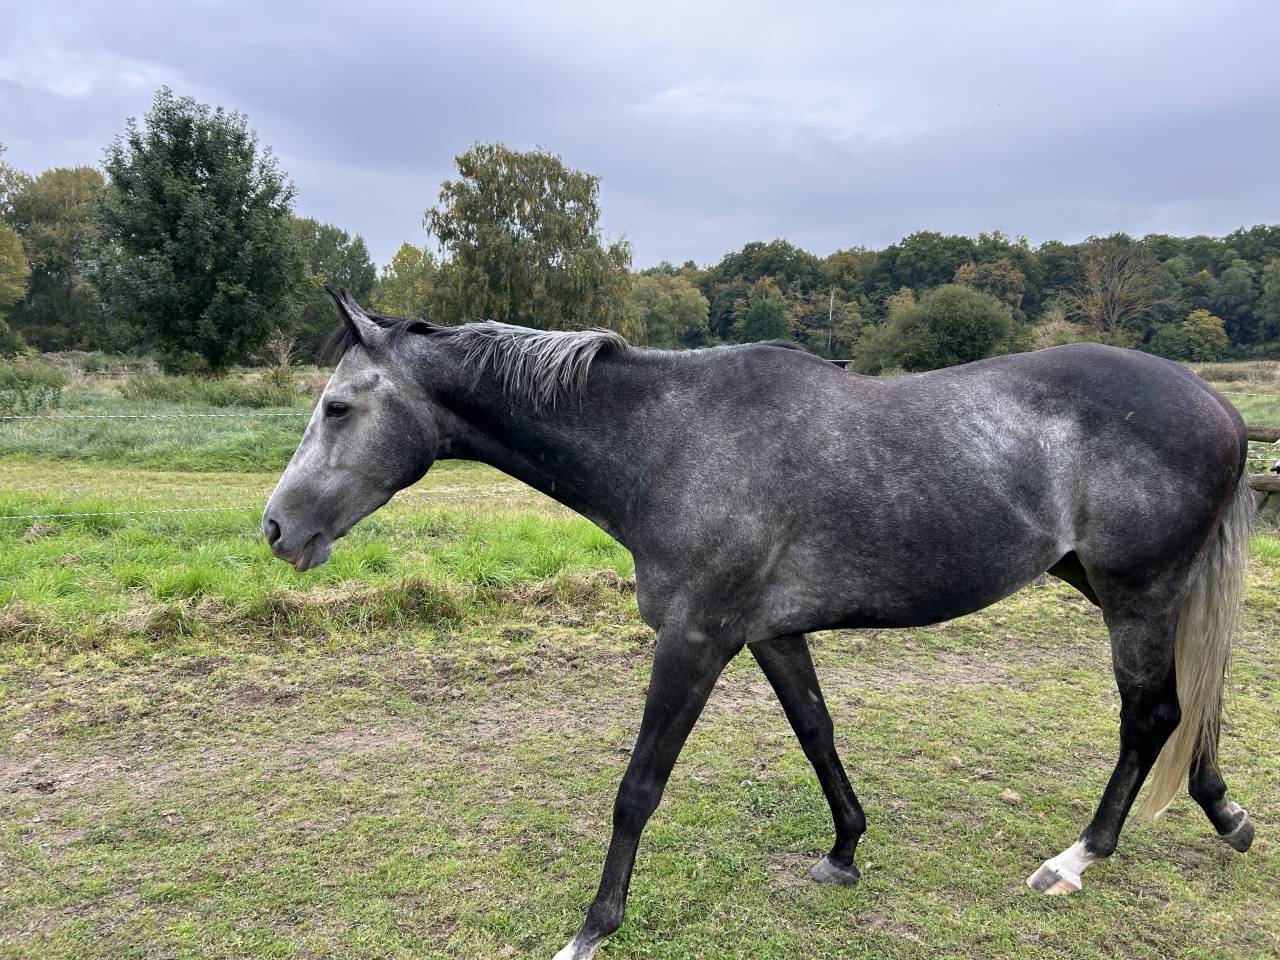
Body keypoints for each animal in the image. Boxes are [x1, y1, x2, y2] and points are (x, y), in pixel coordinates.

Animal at [264, 289, 1256, 960]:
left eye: (337, 407)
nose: (276, 529)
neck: (671, 443)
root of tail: (1221, 406)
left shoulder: (696, 640)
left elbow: (639, 786)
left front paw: (594, 927)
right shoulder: (770, 634)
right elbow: (818, 733)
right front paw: (846, 850)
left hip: (1135, 595)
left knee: (1151, 717)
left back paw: (1079, 858)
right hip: (1107, 584)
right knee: (1195, 704)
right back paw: (1226, 812)